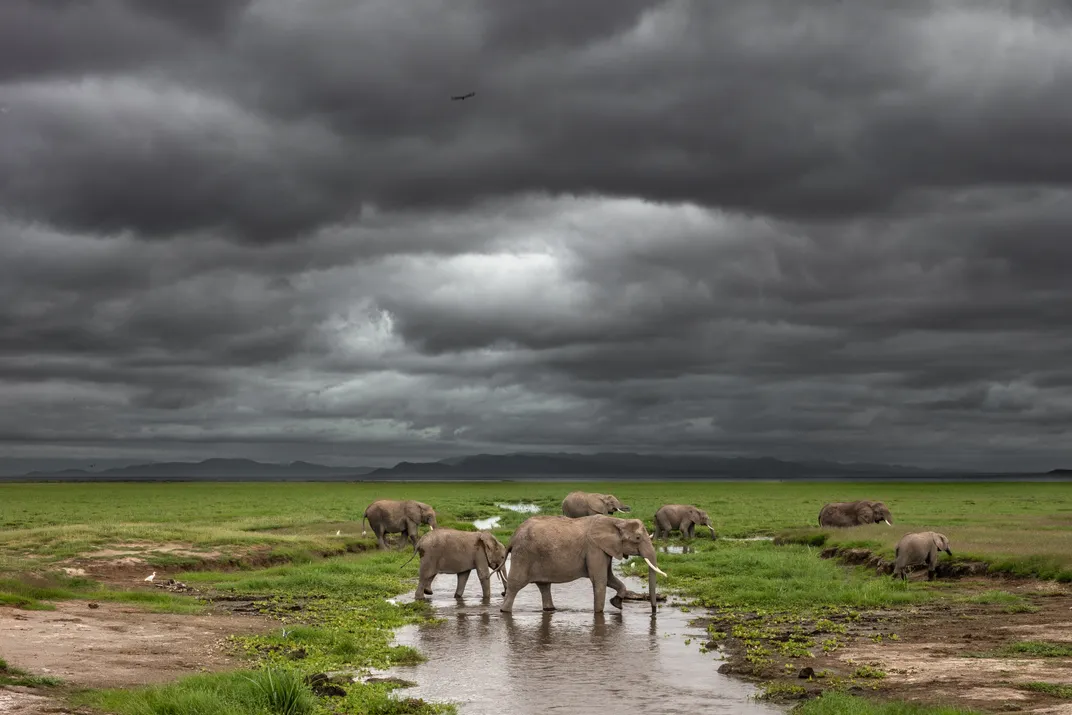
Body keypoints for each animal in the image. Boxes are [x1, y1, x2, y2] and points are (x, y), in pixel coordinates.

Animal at [497, 514, 664, 617]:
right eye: (638, 538)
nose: (653, 612)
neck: (617, 520)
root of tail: (513, 537)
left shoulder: (604, 549)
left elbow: (610, 578)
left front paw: (616, 603)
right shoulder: (594, 548)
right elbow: (600, 580)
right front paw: (600, 613)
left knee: (544, 585)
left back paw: (550, 609)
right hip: (523, 555)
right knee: (515, 585)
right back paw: (504, 611)